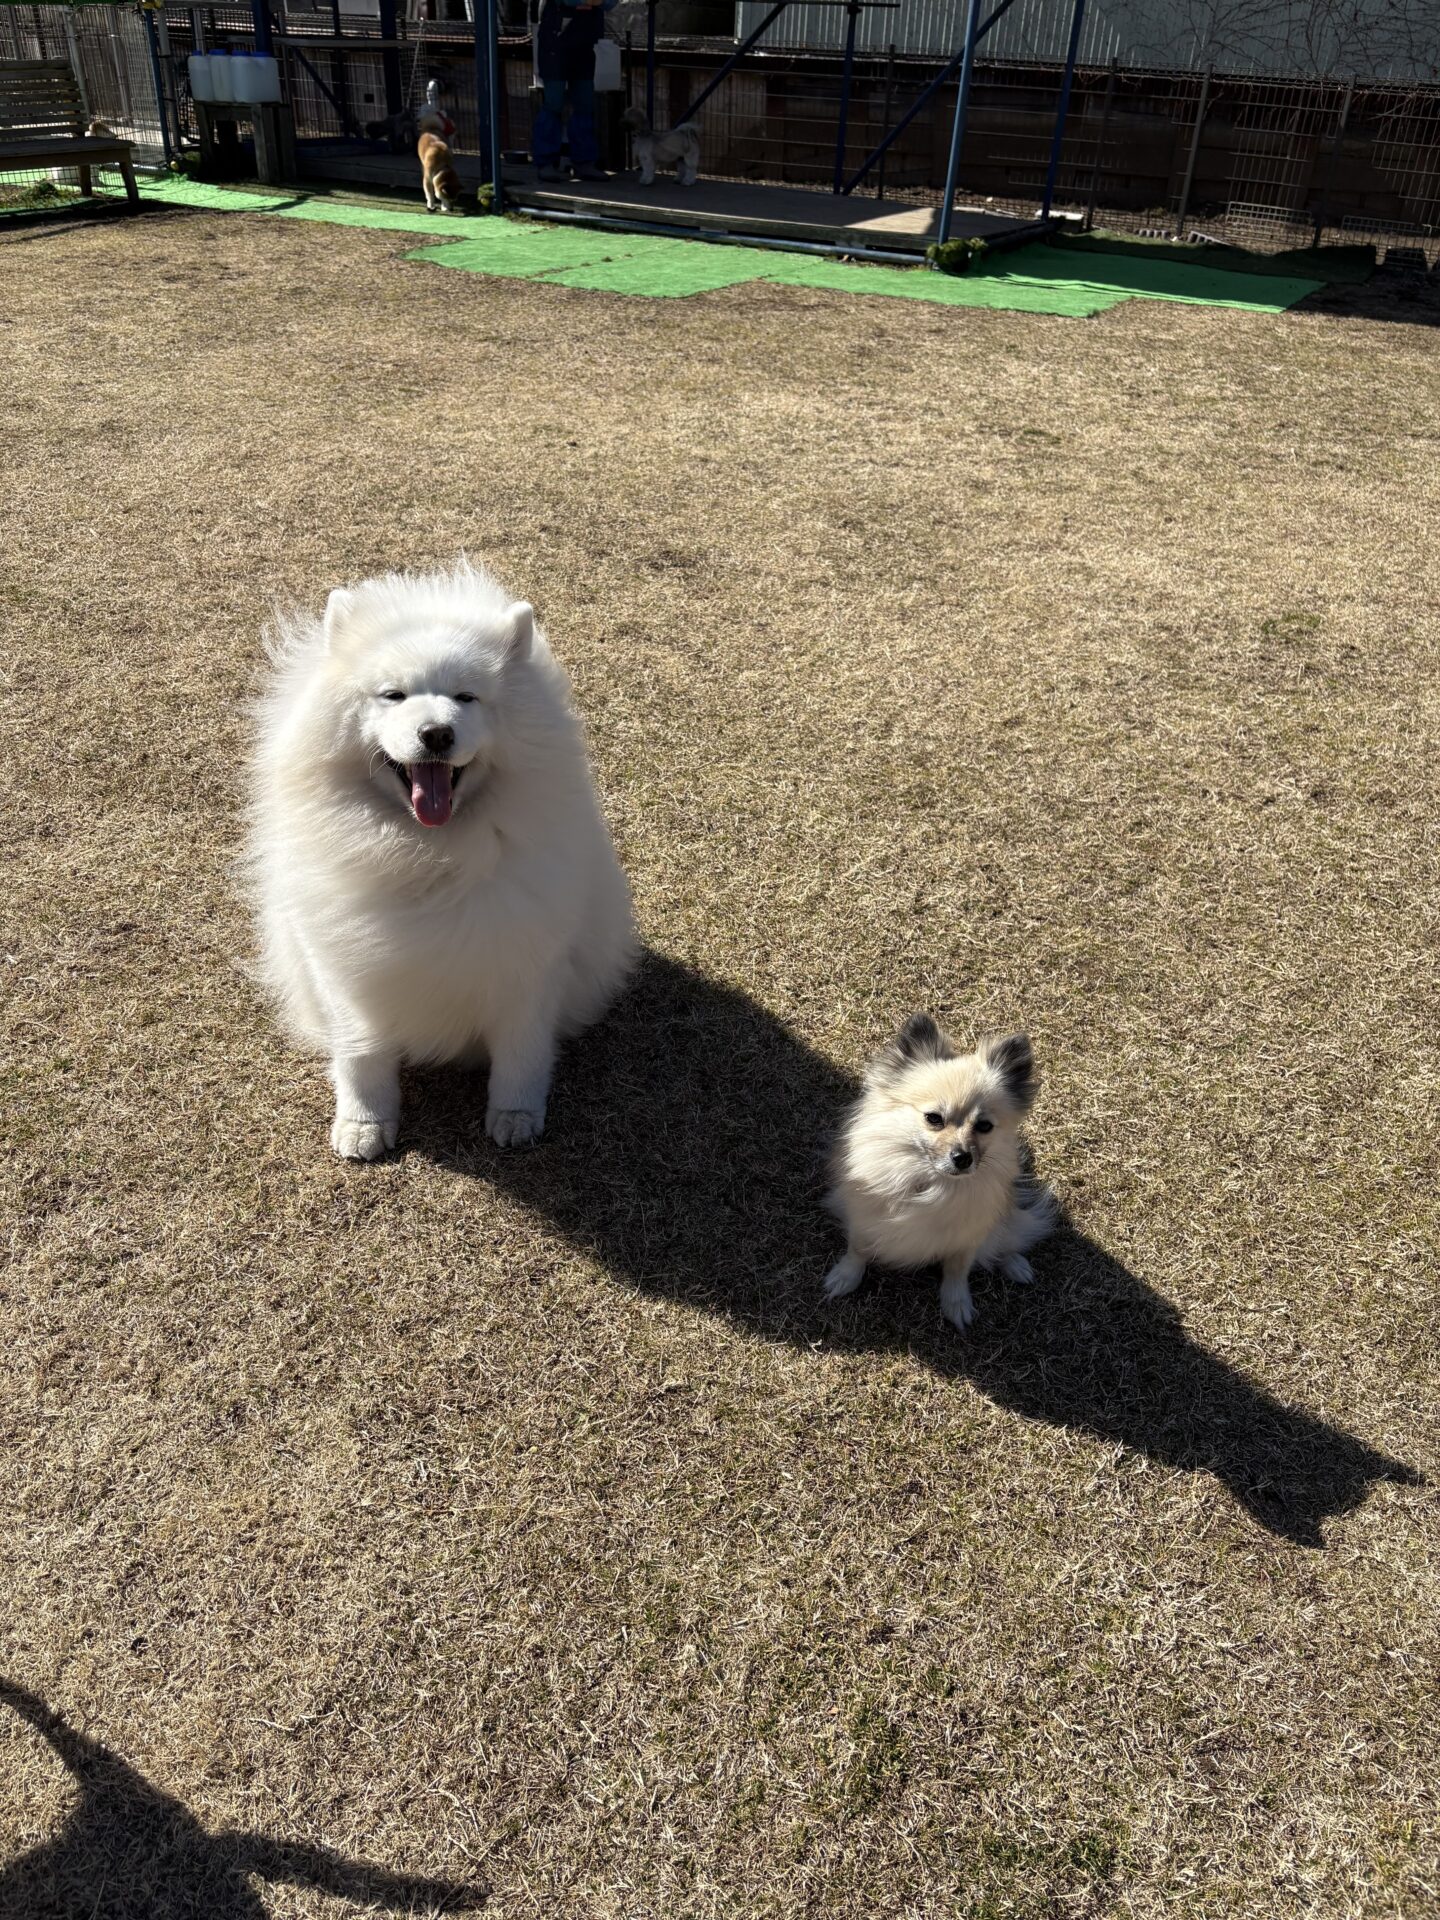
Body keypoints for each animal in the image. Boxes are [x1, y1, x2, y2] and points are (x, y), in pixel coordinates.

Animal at [249, 561, 636, 1159]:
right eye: (393, 695)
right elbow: (361, 1056)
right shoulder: (343, 968)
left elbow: (521, 1056)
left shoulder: (528, 962)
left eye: (466, 697)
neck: (429, 852)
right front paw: (364, 1124)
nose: (436, 733)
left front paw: (516, 1117)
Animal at [822, 1016, 1057, 1331]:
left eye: (984, 1126)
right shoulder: (865, 1219)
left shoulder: (967, 1238)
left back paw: (1014, 1264)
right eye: (934, 1118)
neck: (932, 1184)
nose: (963, 1157)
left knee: (1006, 1237)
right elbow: (857, 1250)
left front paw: (956, 1304)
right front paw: (845, 1277)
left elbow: (958, 1270)